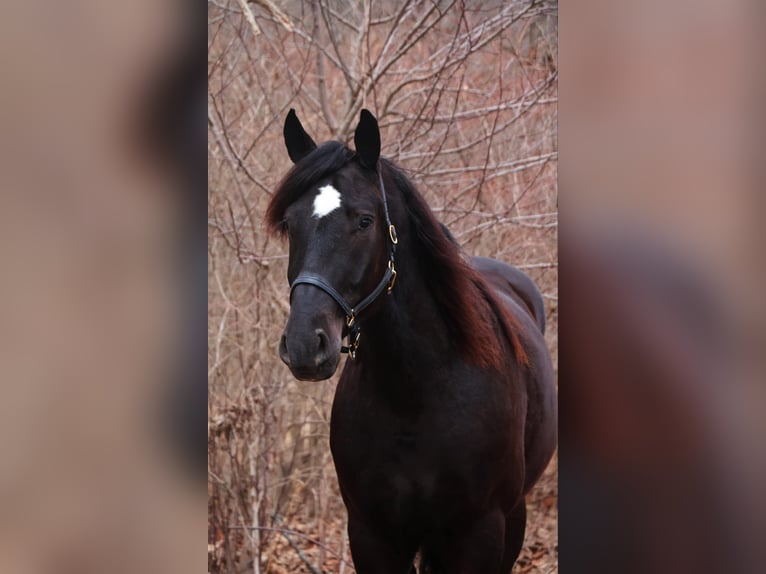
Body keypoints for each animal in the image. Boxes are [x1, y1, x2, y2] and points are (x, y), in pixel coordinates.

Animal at [265, 108, 557, 573]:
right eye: (290, 224)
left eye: (364, 221)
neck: (417, 391)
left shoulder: (479, 533)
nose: (305, 346)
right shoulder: (372, 535)